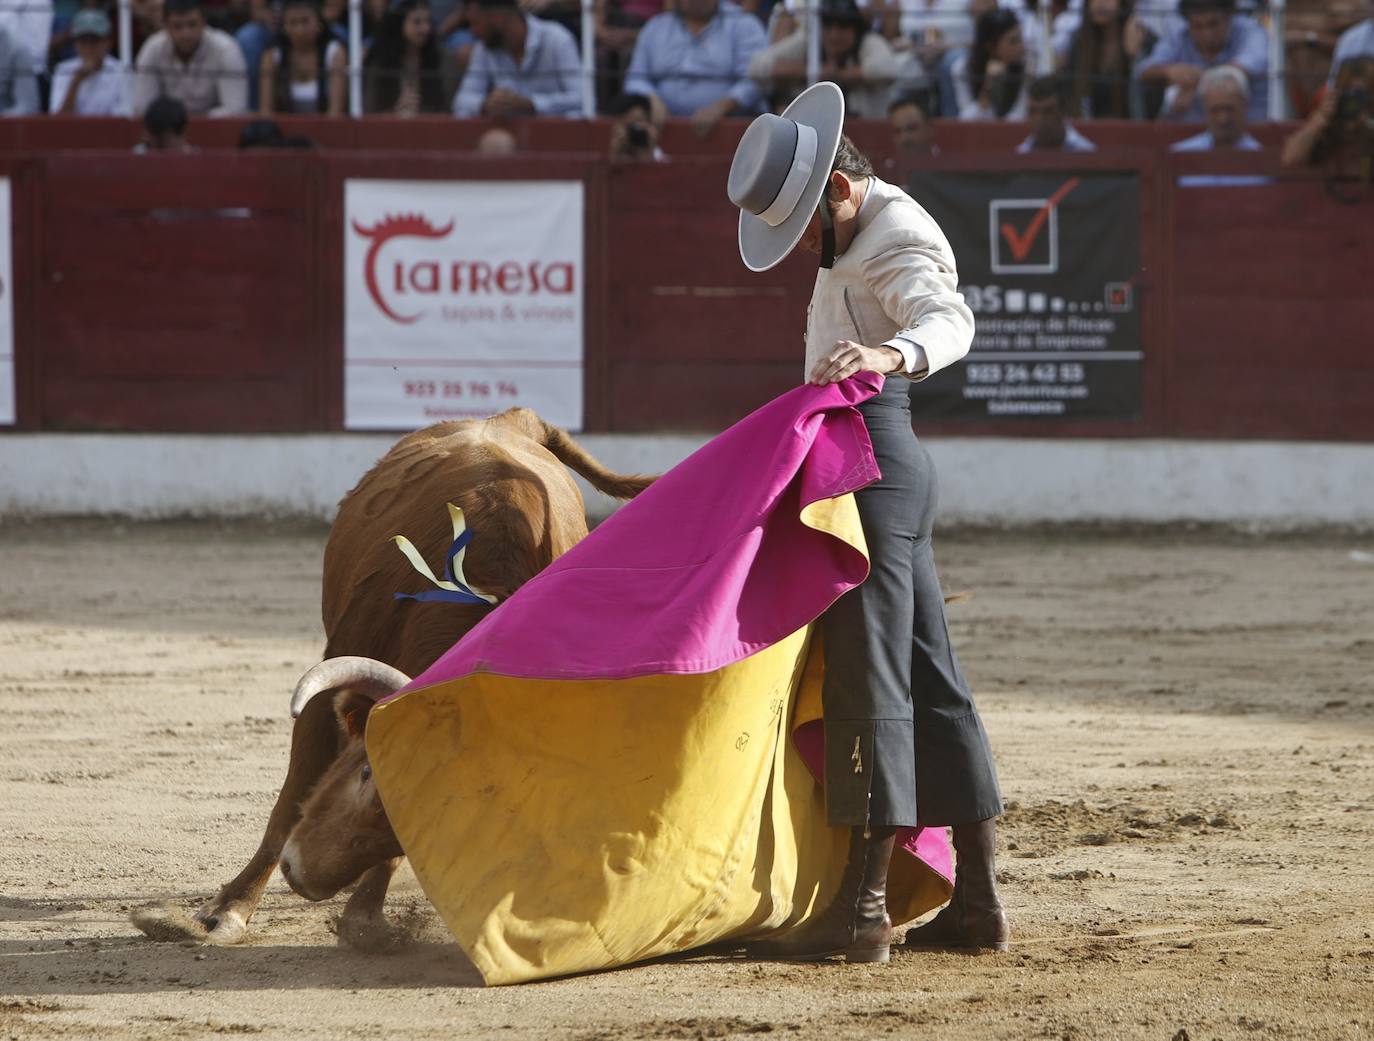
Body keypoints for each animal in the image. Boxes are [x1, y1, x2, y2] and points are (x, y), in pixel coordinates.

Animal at [189, 412, 654, 950]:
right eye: (365, 772)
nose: (302, 875)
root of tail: (513, 421)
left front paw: (363, 917)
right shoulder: (323, 693)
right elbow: (291, 796)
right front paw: (227, 911)